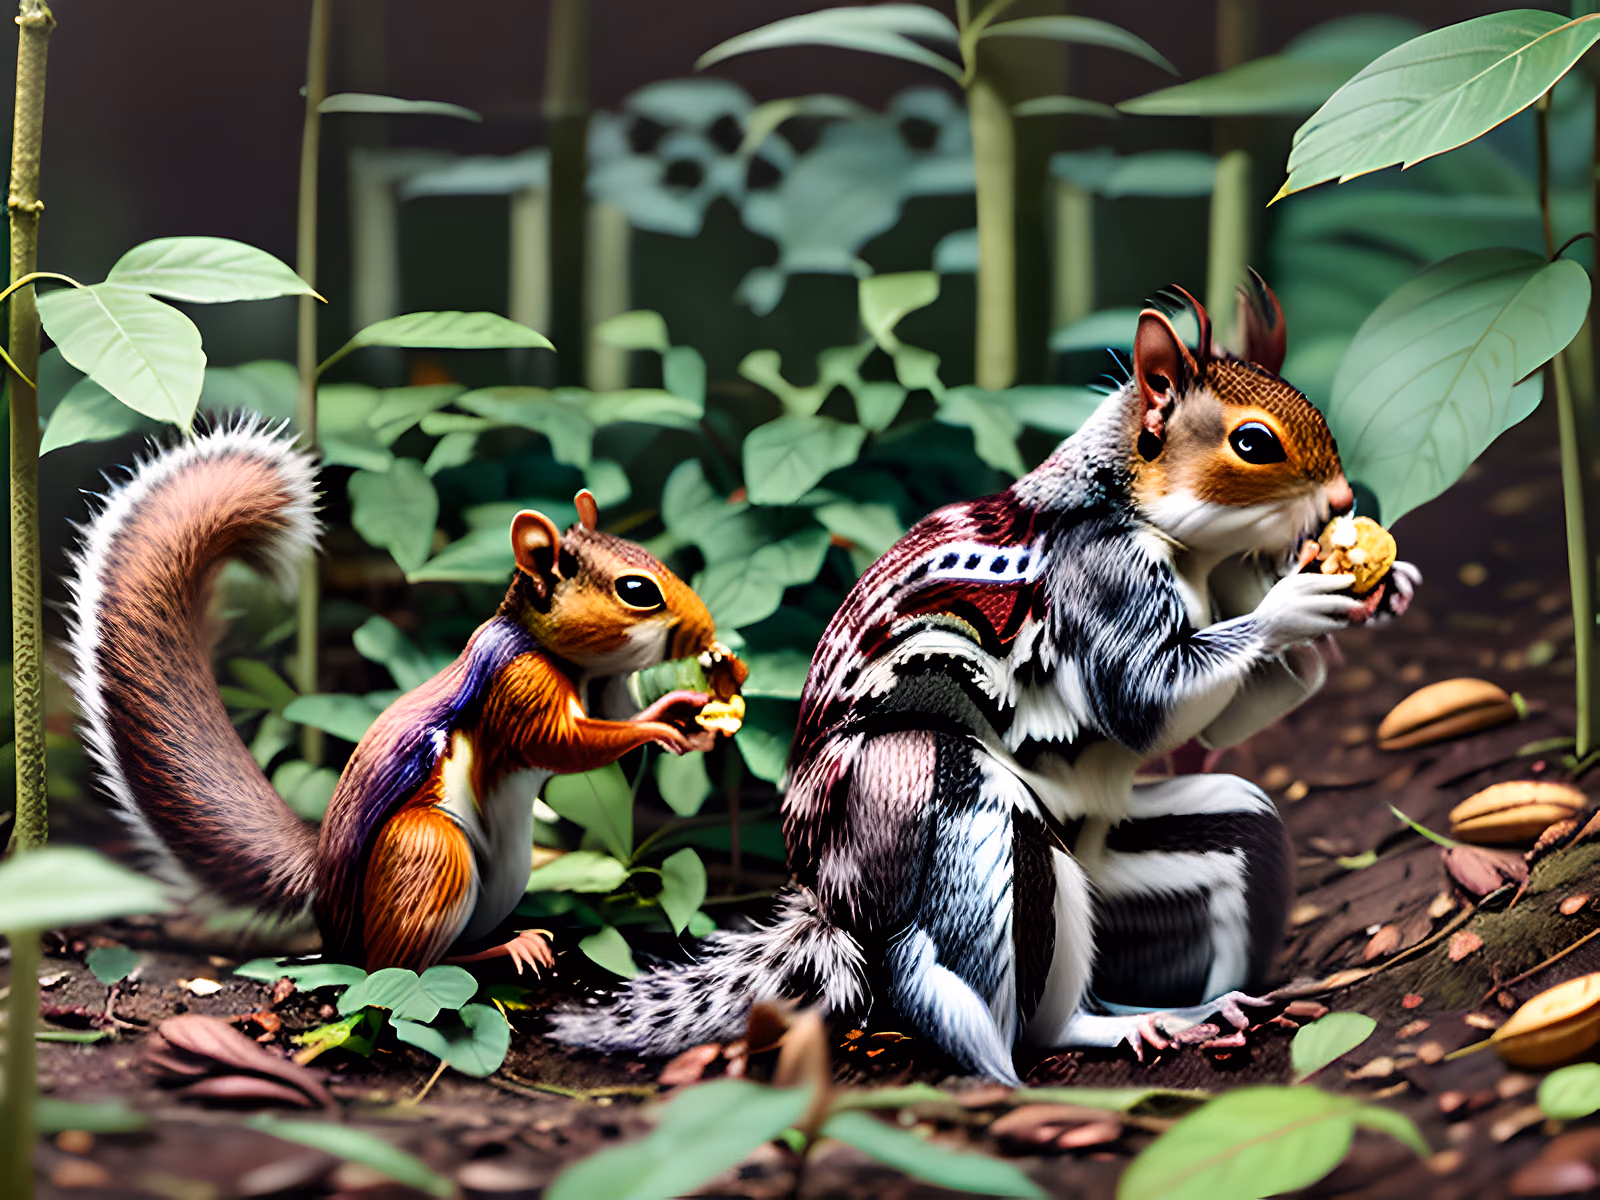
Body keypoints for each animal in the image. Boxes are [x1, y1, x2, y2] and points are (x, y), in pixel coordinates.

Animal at [64, 421, 731, 975]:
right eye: (637, 590)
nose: (707, 631)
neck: (570, 660)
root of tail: (327, 899)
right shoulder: (520, 687)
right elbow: (562, 743)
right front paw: (659, 728)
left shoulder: (602, 690)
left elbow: (612, 719)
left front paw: (684, 716)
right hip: (430, 852)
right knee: (396, 967)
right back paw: (501, 949)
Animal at [549, 272, 1419, 1082]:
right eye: (1254, 443)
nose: (1343, 499)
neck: (1173, 538)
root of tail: (835, 897)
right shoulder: (1101, 581)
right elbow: (1144, 699)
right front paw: (1295, 601)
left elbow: (1227, 719)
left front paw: (1384, 586)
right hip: (967, 808)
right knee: (1033, 1021)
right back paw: (1104, 1030)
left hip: (1170, 846)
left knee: (1220, 856)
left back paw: (1202, 1005)